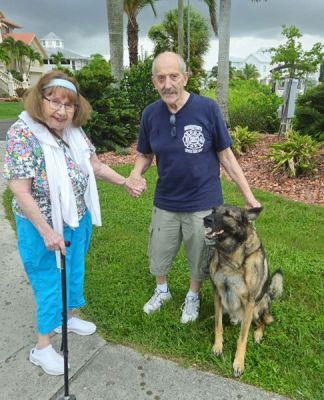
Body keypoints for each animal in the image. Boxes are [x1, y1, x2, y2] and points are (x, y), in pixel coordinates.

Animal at [204, 205, 282, 376]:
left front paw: (238, 362)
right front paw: (218, 346)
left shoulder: (250, 302)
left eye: (227, 215)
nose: (205, 219)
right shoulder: (217, 292)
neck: (230, 256)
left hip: (259, 306)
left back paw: (258, 334)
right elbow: (218, 325)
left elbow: (242, 337)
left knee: (263, 322)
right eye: (213, 210)